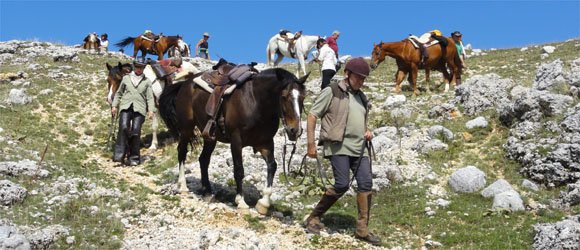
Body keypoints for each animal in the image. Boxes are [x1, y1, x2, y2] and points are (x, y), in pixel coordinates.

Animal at [159, 67, 310, 215]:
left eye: (303, 97)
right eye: (284, 97)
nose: (295, 131)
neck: (256, 102)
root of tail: (185, 83)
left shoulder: (265, 143)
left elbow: (272, 166)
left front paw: (264, 203)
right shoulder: (236, 142)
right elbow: (239, 170)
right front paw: (241, 202)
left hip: (210, 137)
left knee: (203, 159)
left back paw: (208, 192)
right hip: (186, 128)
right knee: (182, 152)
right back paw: (183, 185)